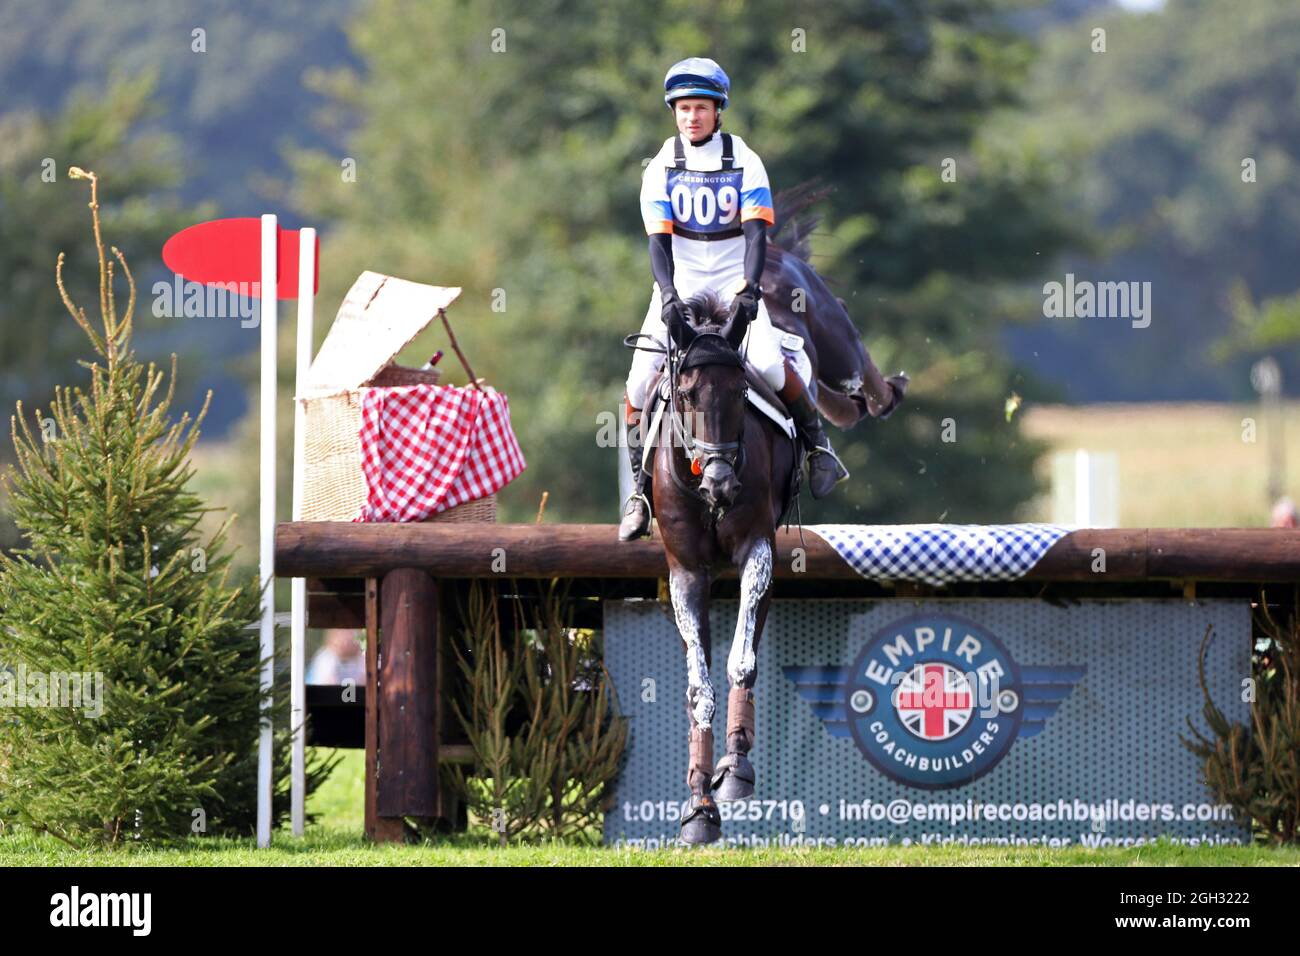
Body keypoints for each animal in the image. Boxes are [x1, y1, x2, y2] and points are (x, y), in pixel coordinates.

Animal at [647, 287, 790, 842]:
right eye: (687, 395)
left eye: (739, 392)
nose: (721, 485)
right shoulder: (686, 573)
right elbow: (698, 686)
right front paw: (699, 806)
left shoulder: (758, 549)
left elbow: (741, 660)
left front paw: (734, 771)